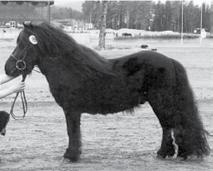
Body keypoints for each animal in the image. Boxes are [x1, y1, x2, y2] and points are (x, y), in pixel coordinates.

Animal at [4, 22, 210, 162]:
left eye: (22, 44)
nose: (8, 69)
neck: (69, 67)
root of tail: (170, 61)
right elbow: (74, 132)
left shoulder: (71, 110)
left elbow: (72, 132)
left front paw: (70, 155)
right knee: (169, 126)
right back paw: (167, 153)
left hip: (161, 101)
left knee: (170, 125)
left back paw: (173, 153)